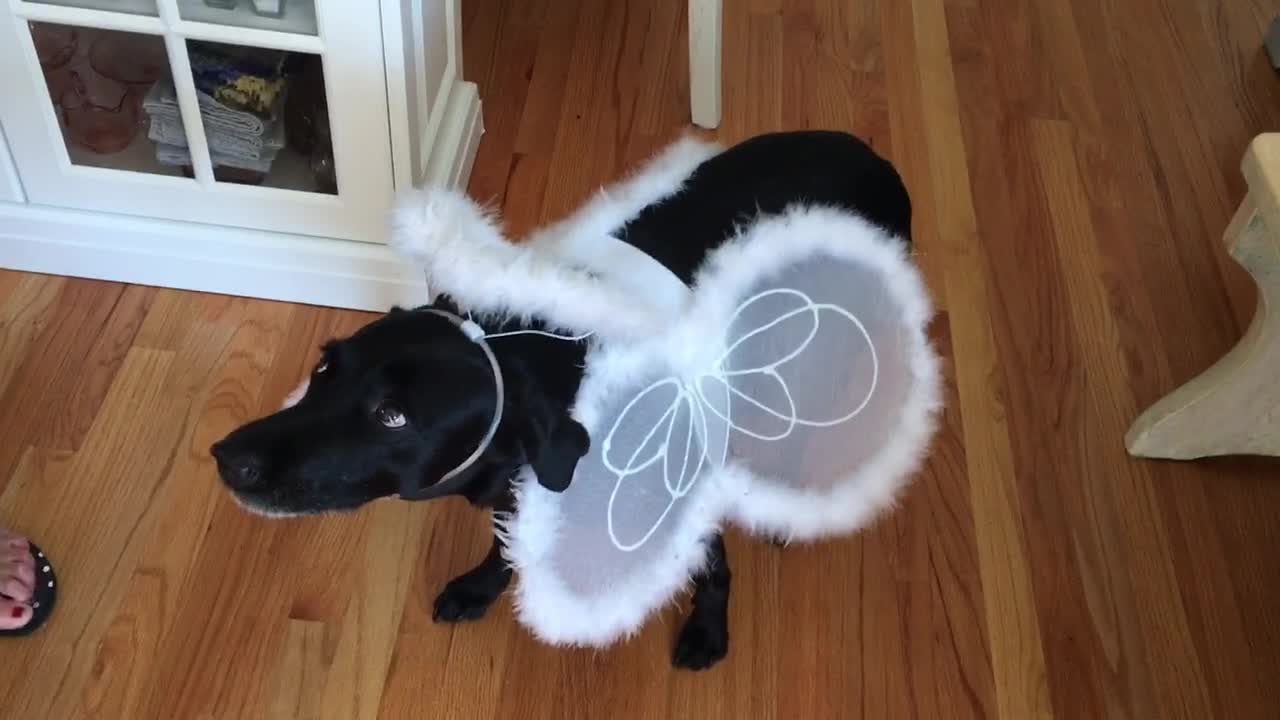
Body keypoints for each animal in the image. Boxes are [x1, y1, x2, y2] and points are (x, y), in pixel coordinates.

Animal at [209, 130, 911, 666]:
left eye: (393, 417)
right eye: (325, 368)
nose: (226, 458)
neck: (550, 357)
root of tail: (871, 153)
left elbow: (709, 566)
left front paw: (709, 630)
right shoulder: (517, 483)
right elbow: (505, 544)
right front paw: (481, 587)